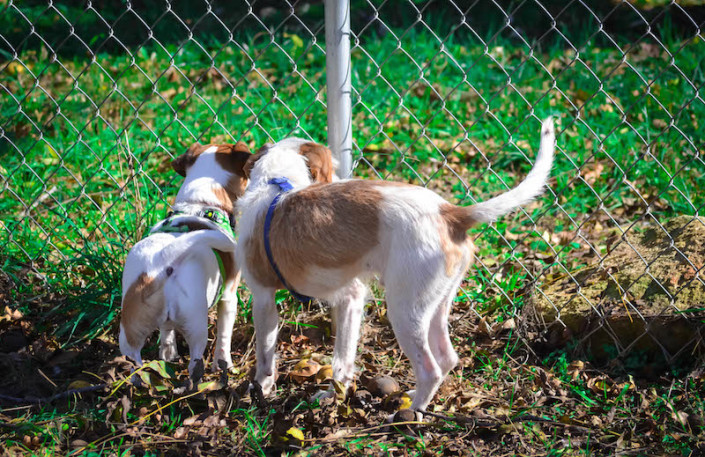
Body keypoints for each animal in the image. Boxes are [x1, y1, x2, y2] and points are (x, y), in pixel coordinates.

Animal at [236, 119, 556, 412]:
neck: (276, 185)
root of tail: (450, 213)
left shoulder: (262, 297)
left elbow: (265, 354)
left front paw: (261, 388)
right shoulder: (351, 298)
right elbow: (343, 358)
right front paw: (335, 394)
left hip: (405, 310)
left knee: (430, 368)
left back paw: (411, 413)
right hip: (435, 301)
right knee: (447, 357)